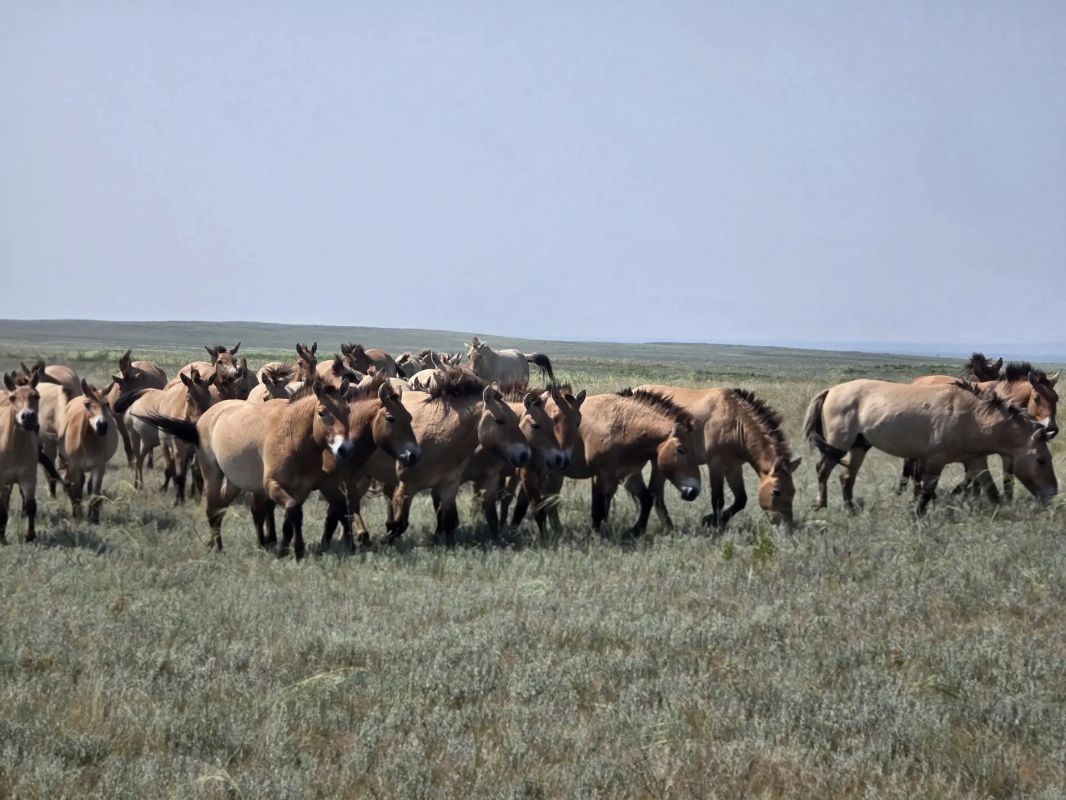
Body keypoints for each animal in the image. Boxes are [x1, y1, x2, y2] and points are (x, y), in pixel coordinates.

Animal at [627, 386, 801, 533]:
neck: (736, 423)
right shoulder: (716, 466)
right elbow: (718, 500)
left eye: (793, 491)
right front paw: (712, 524)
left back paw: (668, 528)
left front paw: (714, 521)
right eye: (776, 492)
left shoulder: (733, 467)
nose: (786, 529)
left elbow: (741, 500)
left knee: (656, 493)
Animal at [805, 379, 1057, 515]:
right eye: (1041, 460)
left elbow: (991, 490)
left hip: (859, 446)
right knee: (822, 470)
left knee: (846, 477)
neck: (973, 415)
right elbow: (927, 490)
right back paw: (821, 505)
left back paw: (850, 509)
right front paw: (916, 515)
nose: (1053, 494)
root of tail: (832, 390)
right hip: (839, 443)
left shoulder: (975, 460)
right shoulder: (936, 460)